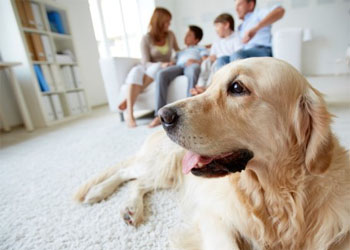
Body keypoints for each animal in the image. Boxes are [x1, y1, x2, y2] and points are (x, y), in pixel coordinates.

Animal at [72, 57, 348, 249]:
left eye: (237, 87)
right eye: (208, 86)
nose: (162, 115)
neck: (275, 194)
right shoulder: (214, 216)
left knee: (138, 182)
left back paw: (130, 208)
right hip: (164, 163)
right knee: (128, 173)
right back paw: (100, 192)